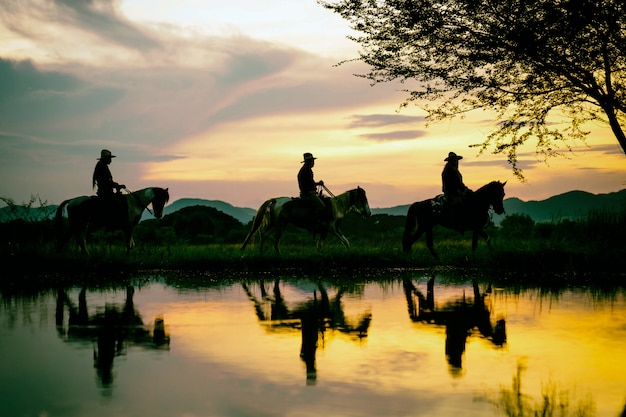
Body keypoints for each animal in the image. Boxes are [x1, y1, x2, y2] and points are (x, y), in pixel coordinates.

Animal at [240, 186, 370, 254]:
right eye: (363, 198)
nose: (368, 213)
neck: (336, 207)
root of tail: (276, 200)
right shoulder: (332, 229)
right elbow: (345, 241)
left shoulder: (327, 231)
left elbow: (321, 245)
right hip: (281, 225)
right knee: (275, 239)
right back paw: (277, 254)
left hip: (275, 224)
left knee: (264, 234)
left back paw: (261, 251)